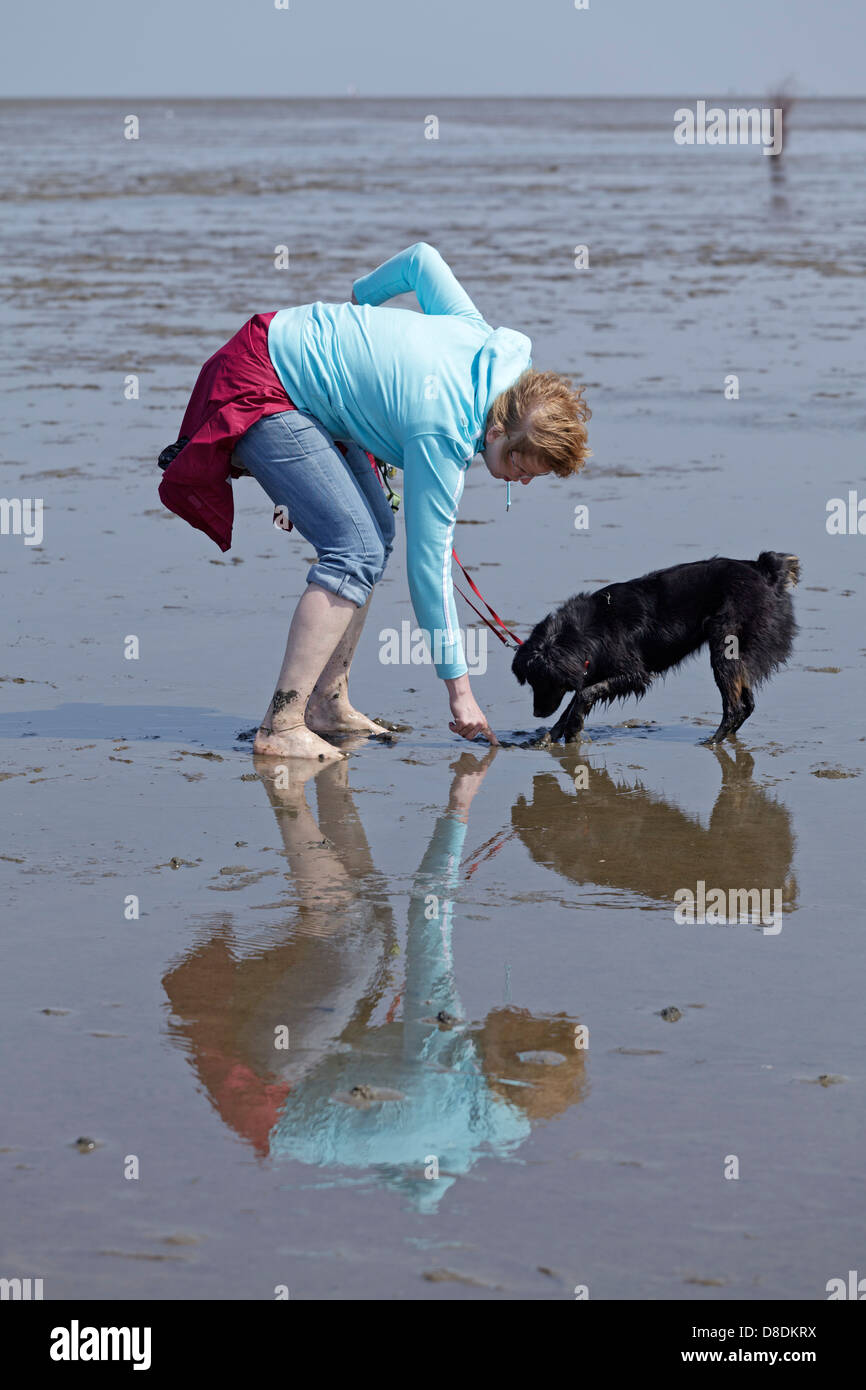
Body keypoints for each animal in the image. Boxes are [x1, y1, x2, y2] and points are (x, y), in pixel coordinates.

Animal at [511, 553, 800, 750]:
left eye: (546, 682)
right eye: (532, 682)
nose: (537, 713)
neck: (587, 629)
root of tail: (766, 570)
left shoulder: (634, 675)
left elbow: (584, 695)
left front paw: (571, 731)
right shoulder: (592, 671)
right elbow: (573, 704)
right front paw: (547, 738)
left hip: (725, 647)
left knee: (735, 706)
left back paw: (712, 741)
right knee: (747, 703)